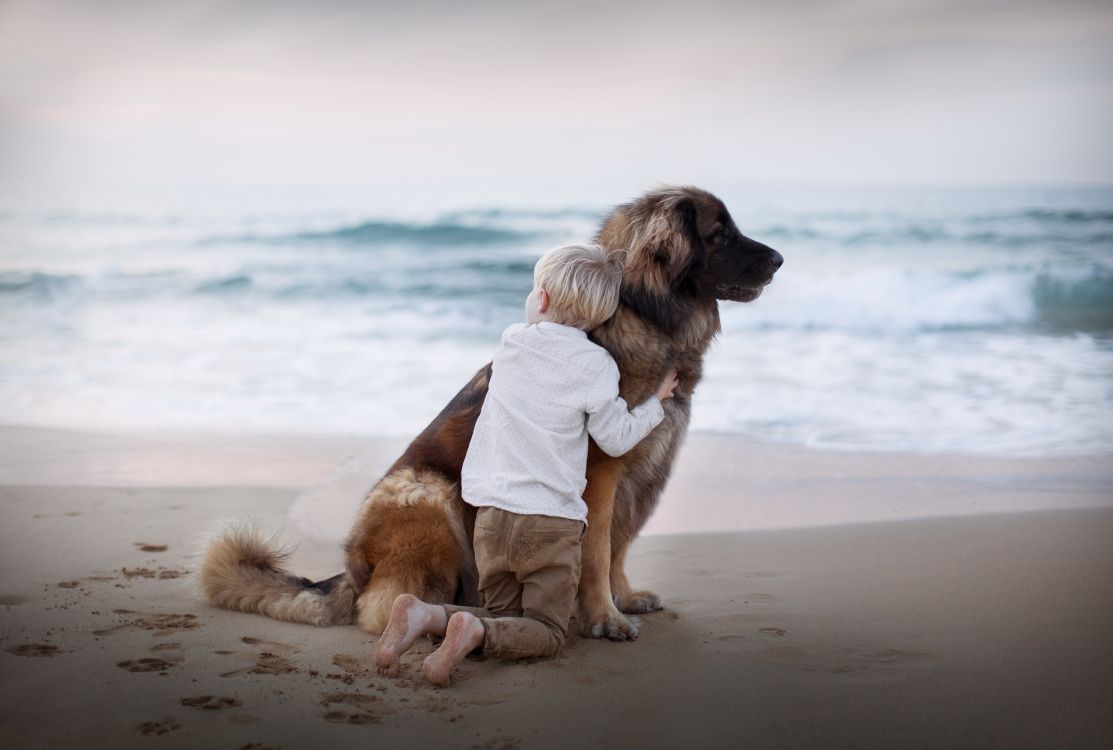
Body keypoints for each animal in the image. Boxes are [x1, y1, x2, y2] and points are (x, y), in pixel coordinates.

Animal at [204, 185, 788, 636]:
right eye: (719, 234)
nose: (781, 260)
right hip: (426, 492)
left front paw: (623, 596)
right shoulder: (601, 474)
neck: (644, 312)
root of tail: (348, 570)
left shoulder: (643, 474)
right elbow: (599, 549)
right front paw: (604, 617)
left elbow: (619, 544)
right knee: (383, 606)